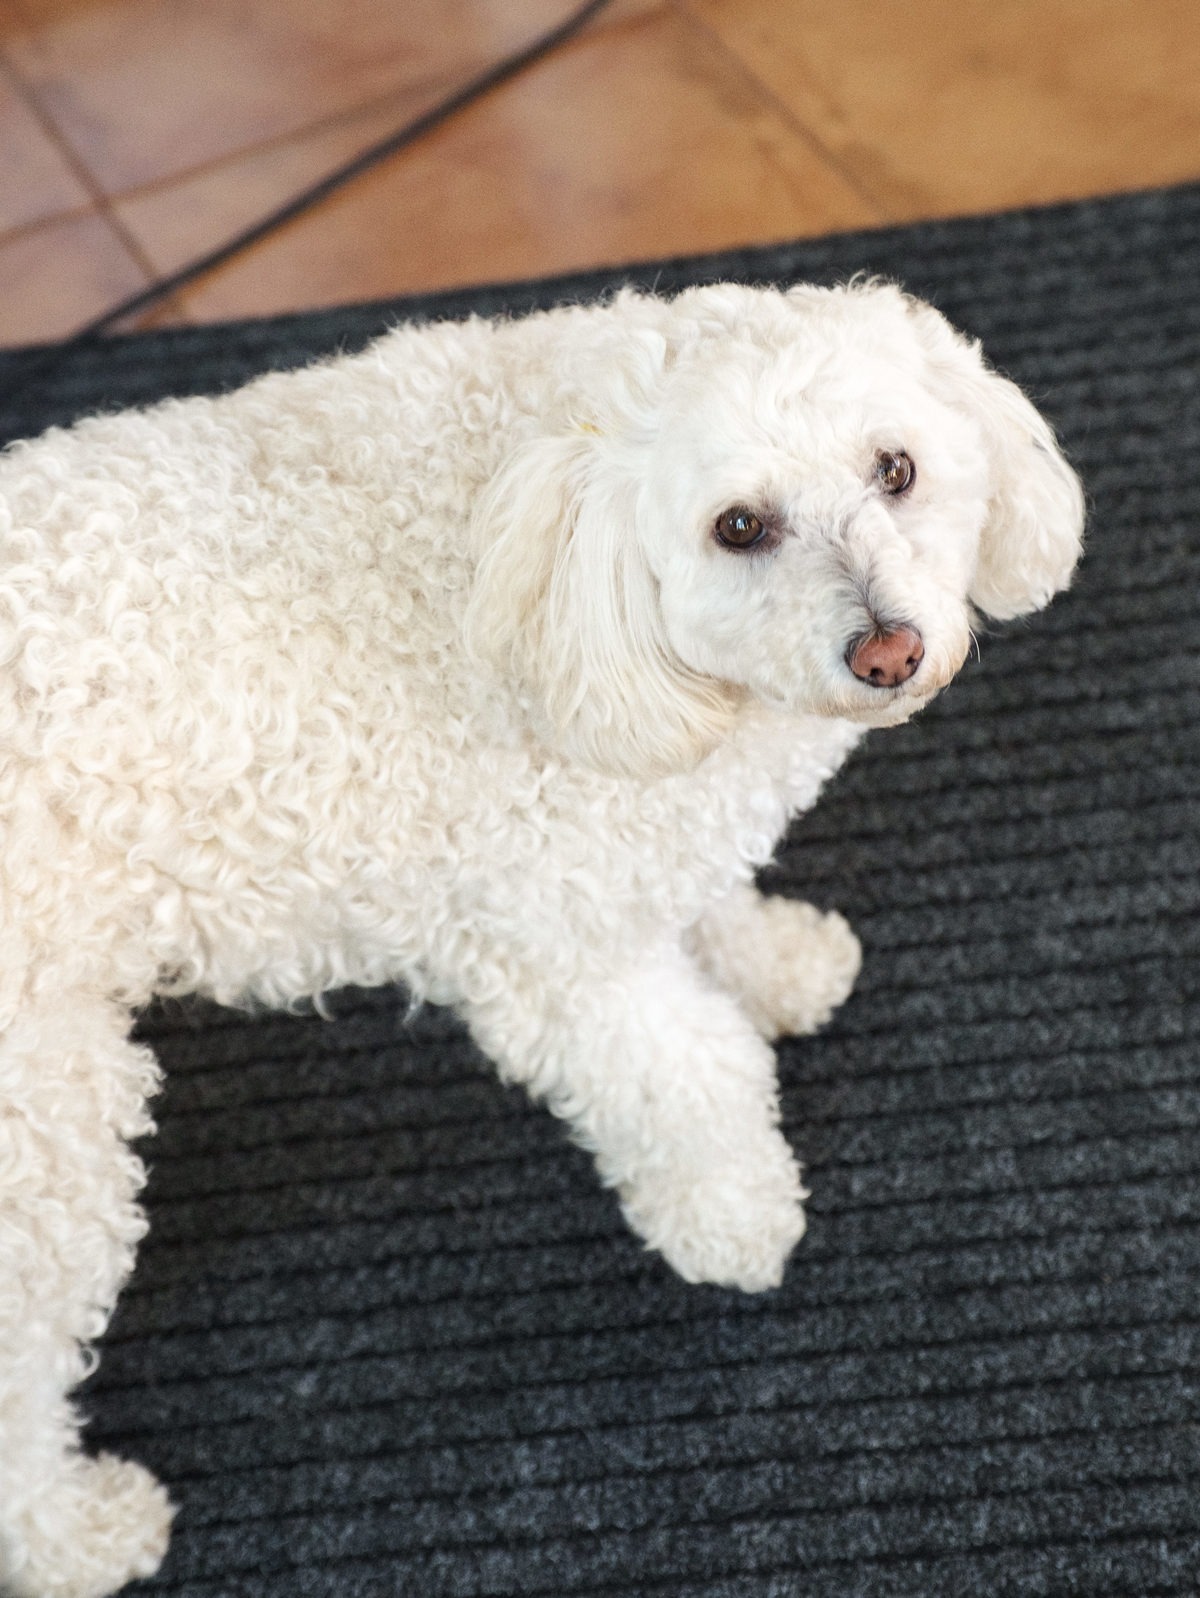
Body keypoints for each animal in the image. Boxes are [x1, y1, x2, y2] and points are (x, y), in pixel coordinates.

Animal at [0, 280, 1084, 1595]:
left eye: (897, 469)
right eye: (738, 526)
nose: (889, 647)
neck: (532, 534)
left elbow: (707, 909)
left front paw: (772, 961)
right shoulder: (558, 958)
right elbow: (691, 1080)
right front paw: (733, 1214)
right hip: (45, 1136)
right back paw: (73, 1534)